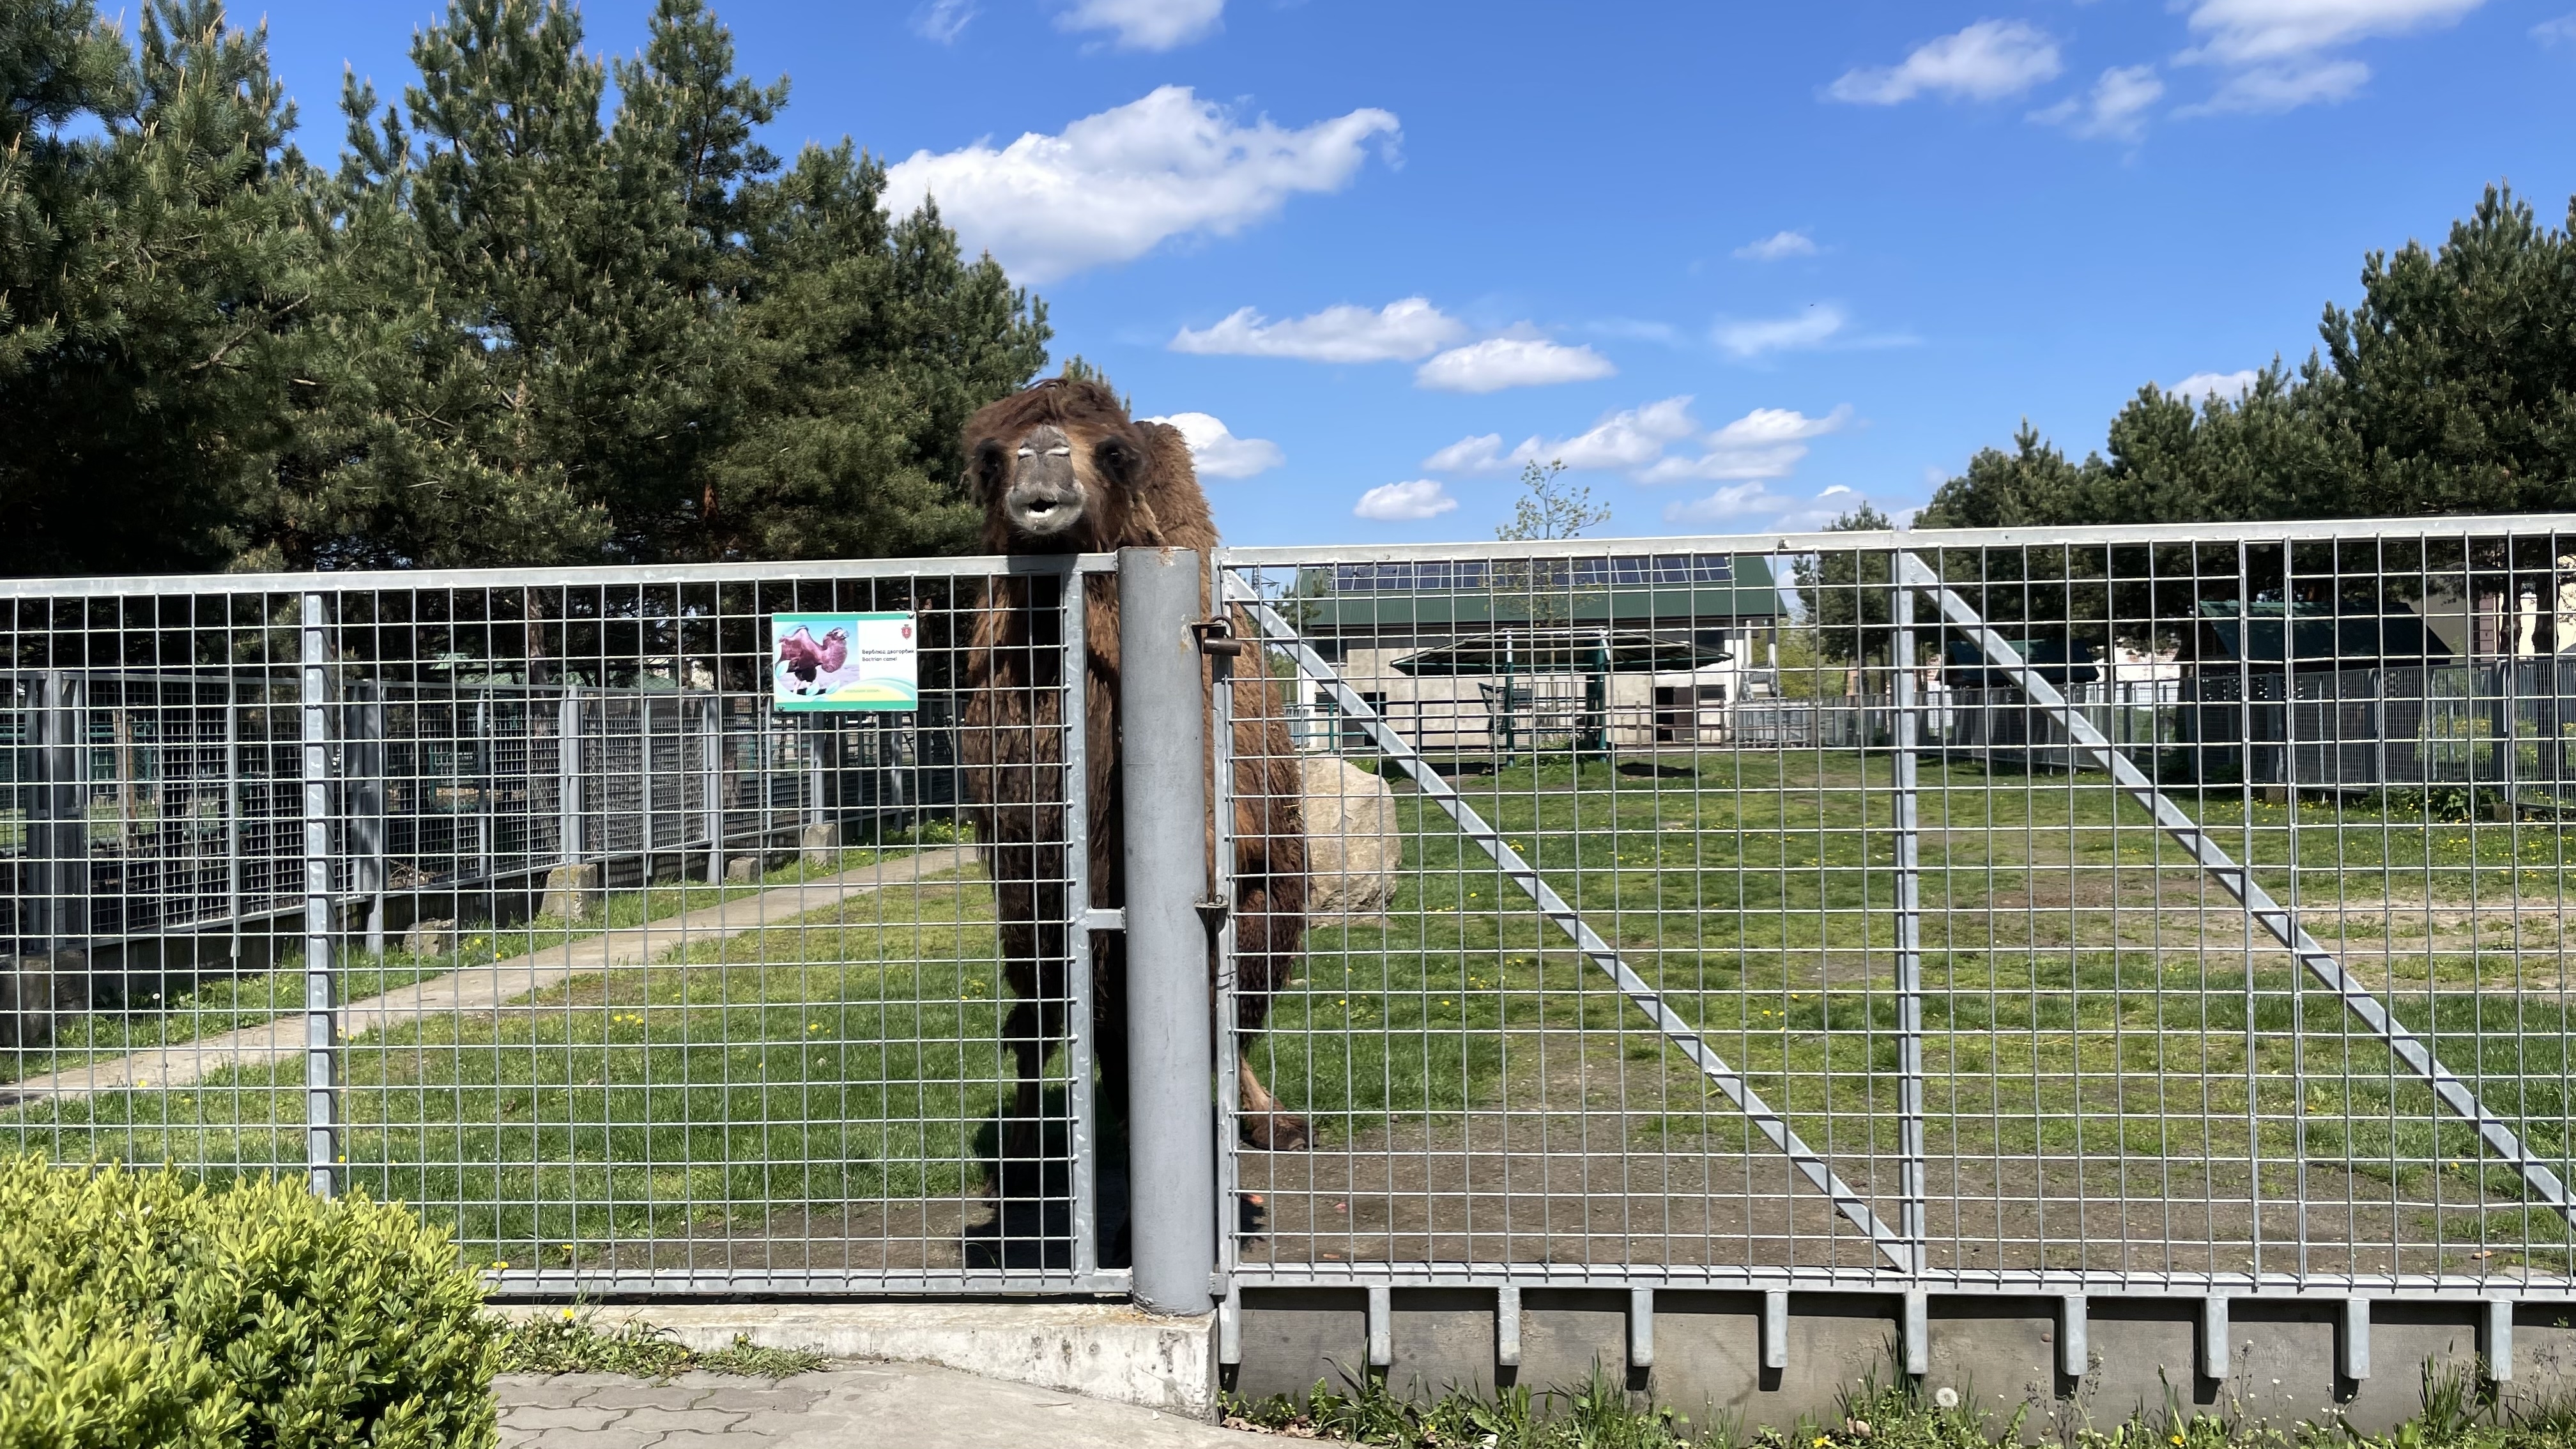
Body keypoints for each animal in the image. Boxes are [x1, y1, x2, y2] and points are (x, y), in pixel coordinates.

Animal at [953, 371, 1308, 1160]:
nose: (1042, 461)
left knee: (1232, 1013)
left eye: (1113, 453)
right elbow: (1053, 1019)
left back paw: (1268, 1119)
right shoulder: (1027, 872)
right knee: (1053, 1021)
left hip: (1275, 903)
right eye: (990, 458)